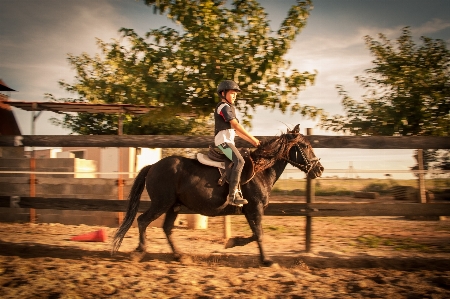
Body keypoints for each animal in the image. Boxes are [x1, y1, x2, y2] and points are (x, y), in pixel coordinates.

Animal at [112, 124, 324, 268]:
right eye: (305, 146)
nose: (319, 169)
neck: (260, 171)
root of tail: (152, 166)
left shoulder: (250, 211)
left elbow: (255, 234)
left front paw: (233, 242)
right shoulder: (254, 209)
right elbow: (259, 234)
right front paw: (266, 260)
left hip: (173, 206)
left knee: (167, 228)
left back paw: (180, 256)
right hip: (161, 203)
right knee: (142, 220)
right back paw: (140, 251)